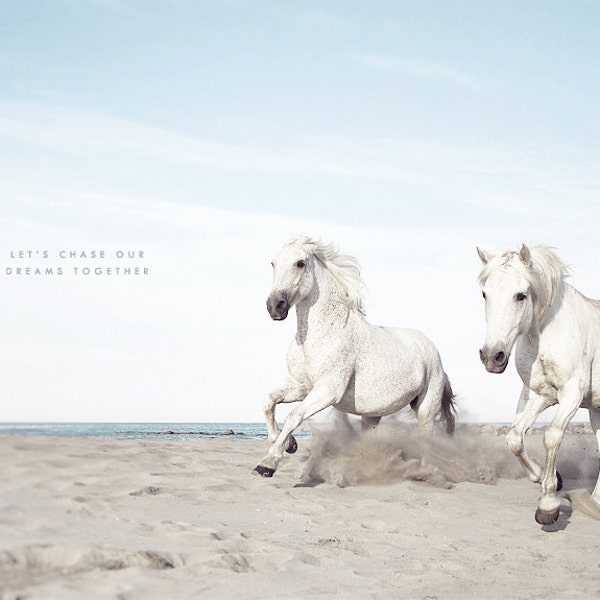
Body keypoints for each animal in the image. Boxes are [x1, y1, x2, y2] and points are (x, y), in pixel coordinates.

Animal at [253, 237, 454, 476]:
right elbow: (268, 401)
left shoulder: (328, 390)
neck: (320, 334)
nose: (275, 306)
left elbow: (294, 415)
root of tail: (432, 349)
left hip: (425, 408)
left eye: (300, 263)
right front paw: (289, 444)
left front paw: (268, 463)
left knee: (426, 439)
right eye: (273, 263)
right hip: (372, 415)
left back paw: (424, 473)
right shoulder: (303, 386)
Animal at [480, 244, 600, 524]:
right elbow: (514, 438)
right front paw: (548, 478)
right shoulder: (538, 395)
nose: (492, 357)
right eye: (484, 294)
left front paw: (548, 505)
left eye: (520, 295)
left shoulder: (571, 394)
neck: (546, 335)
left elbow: (552, 437)